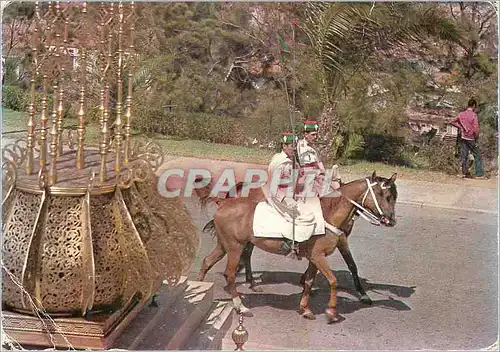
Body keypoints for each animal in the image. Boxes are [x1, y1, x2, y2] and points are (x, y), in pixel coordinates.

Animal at [193, 172, 396, 324]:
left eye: (394, 197)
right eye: (383, 195)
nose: (391, 220)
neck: (328, 214)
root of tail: (223, 202)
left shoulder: (315, 258)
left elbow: (309, 281)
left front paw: (305, 308)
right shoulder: (319, 256)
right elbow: (333, 280)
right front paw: (331, 312)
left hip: (224, 245)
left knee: (207, 262)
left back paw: (200, 288)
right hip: (235, 247)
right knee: (230, 273)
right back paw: (241, 306)